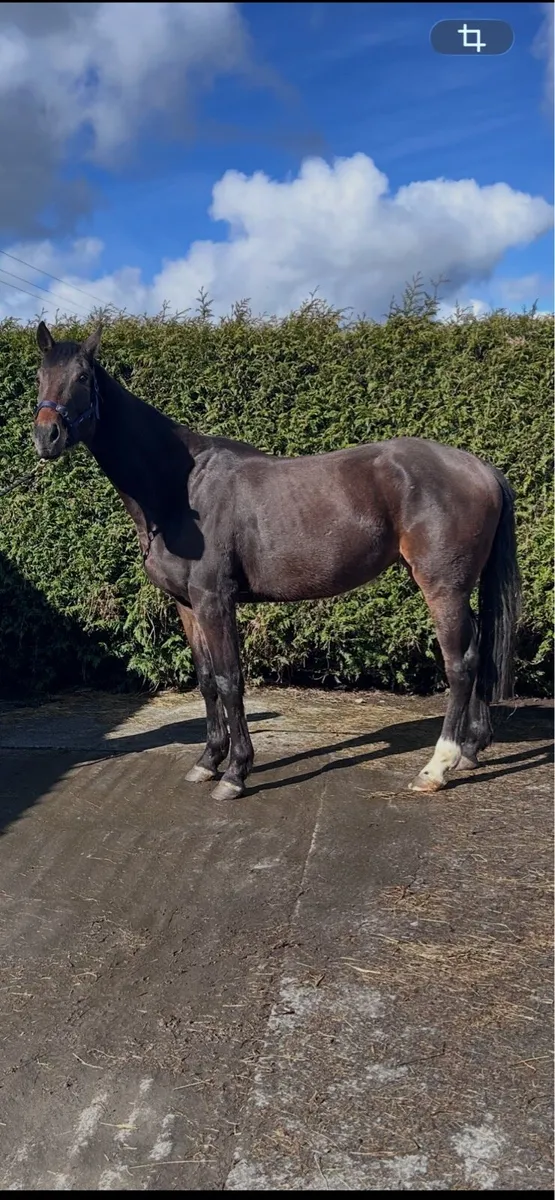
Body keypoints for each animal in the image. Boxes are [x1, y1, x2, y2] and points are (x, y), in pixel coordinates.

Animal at [32, 320, 520, 801]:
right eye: (40, 375)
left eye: (82, 377)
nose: (46, 436)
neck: (181, 487)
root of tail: (481, 468)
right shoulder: (187, 605)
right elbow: (206, 679)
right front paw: (207, 761)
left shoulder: (214, 600)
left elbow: (229, 679)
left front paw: (235, 773)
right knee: (478, 651)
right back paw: (470, 751)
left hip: (442, 588)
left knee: (460, 664)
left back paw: (436, 767)